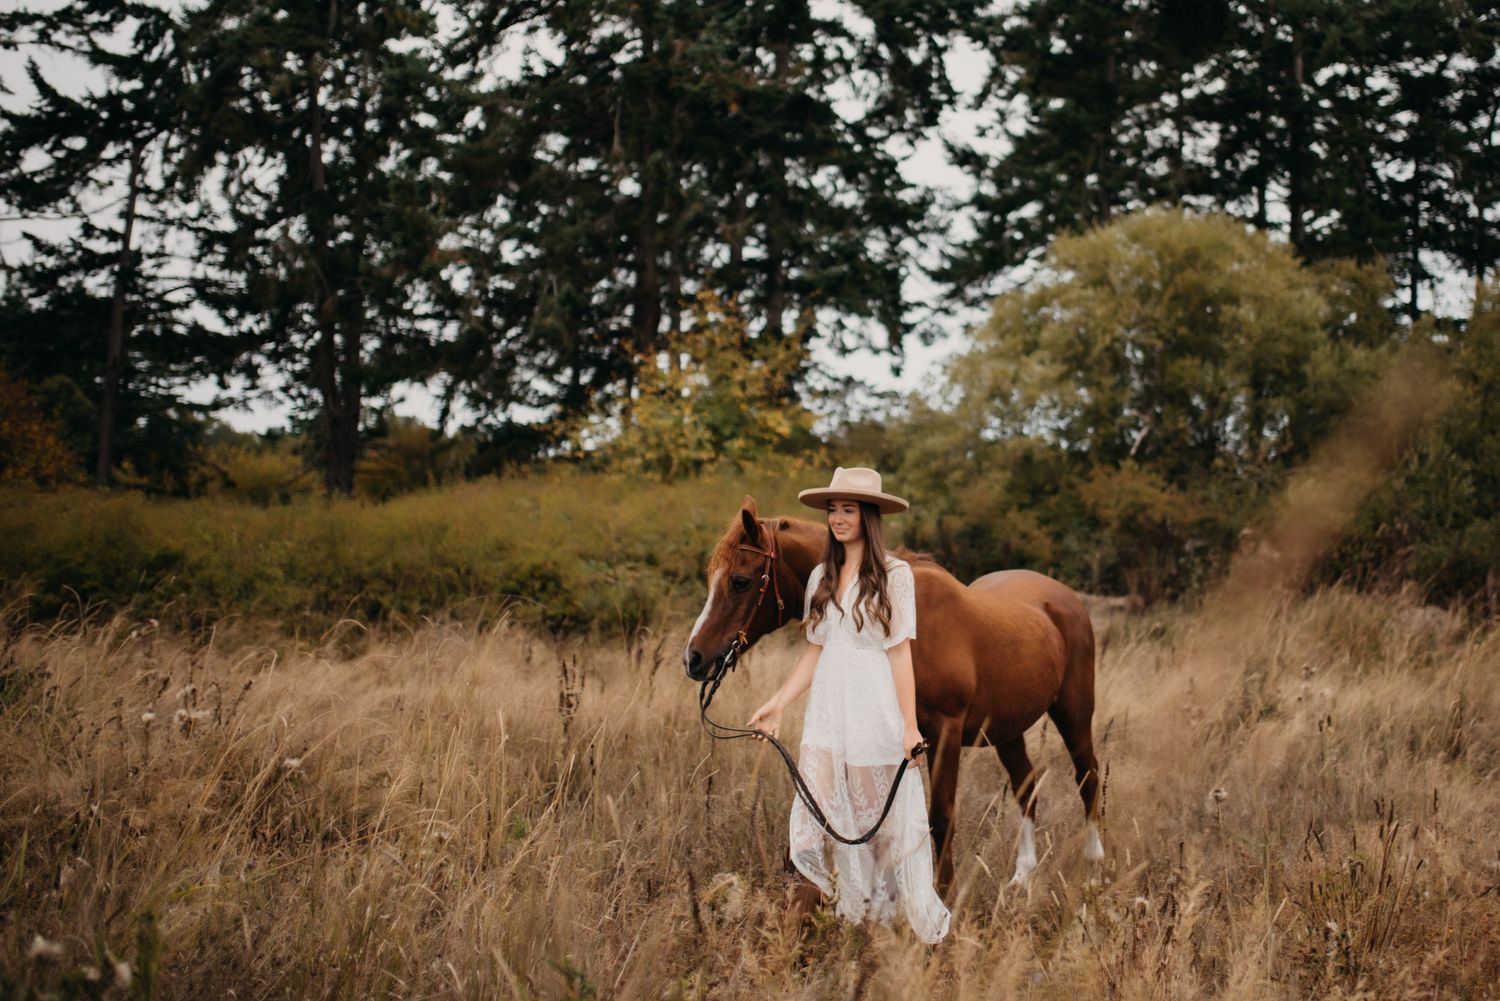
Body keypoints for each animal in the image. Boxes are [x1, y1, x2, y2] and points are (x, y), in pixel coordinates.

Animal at [683, 496, 1103, 895]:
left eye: (739, 581)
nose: (694, 658)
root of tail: (1065, 600)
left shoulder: (944, 735)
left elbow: (941, 817)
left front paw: (942, 898)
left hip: (1074, 715)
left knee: (1088, 778)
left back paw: (1094, 871)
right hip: (1007, 730)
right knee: (1026, 787)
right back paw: (1022, 878)